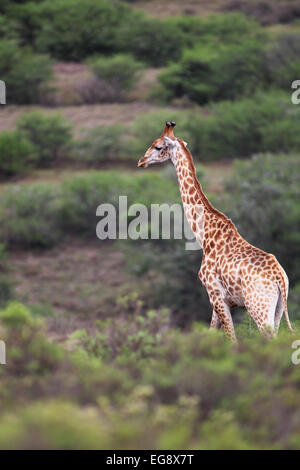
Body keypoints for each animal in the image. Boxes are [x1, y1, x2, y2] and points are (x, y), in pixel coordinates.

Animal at [138, 121, 292, 342]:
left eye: (158, 146)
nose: (140, 161)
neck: (205, 235)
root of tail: (280, 278)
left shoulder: (216, 295)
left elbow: (232, 340)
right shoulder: (218, 300)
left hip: (258, 307)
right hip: (278, 309)